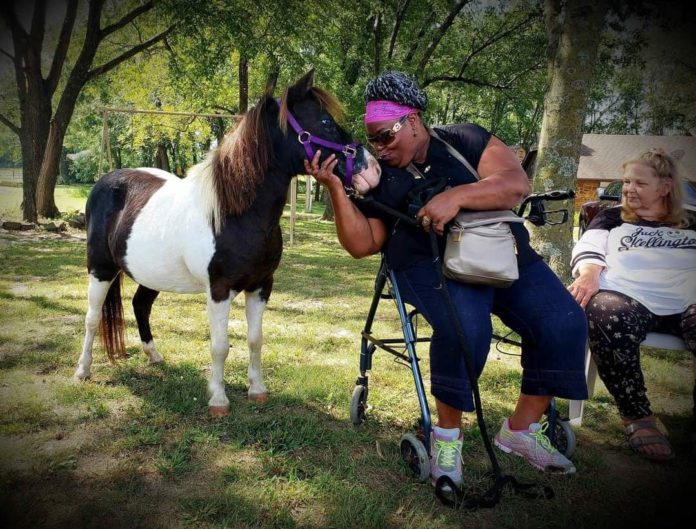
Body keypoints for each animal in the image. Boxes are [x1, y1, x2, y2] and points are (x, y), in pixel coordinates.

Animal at [74, 70, 380, 416]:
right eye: (325, 121)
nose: (373, 169)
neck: (234, 214)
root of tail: (105, 181)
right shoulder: (219, 290)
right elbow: (220, 346)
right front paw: (218, 399)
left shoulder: (261, 286)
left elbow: (255, 339)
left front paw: (257, 389)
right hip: (100, 269)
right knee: (92, 318)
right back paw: (83, 370)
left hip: (151, 273)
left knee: (140, 305)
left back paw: (154, 356)